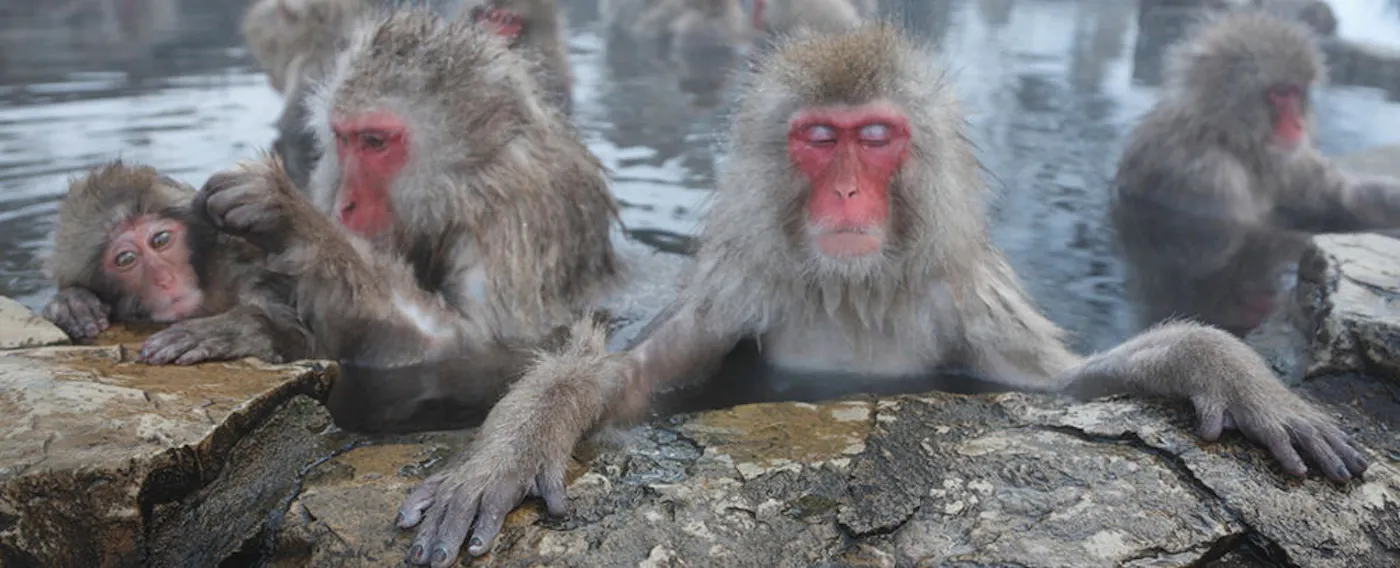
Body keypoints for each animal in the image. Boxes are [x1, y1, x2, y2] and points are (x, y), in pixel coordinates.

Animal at [195, 10, 621, 383]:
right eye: (344, 138)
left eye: (375, 142)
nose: (344, 205)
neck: (465, 186)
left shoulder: (517, 220)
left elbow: (471, 344)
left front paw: (294, 220)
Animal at [386, 26, 1369, 566]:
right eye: (822, 139)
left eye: (878, 137)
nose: (851, 192)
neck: (853, 288)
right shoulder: (743, 287)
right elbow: (625, 382)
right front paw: (508, 449)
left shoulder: (967, 299)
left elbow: (1062, 385)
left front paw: (1224, 369)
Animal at [1111, 11, 1400, 337]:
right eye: (1278, 93)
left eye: (1296, 92)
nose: (1298, 124)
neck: (1228, 139)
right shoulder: (1209, 176)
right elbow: (1245, 234)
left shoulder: (1289, 161)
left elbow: (1344, 200)